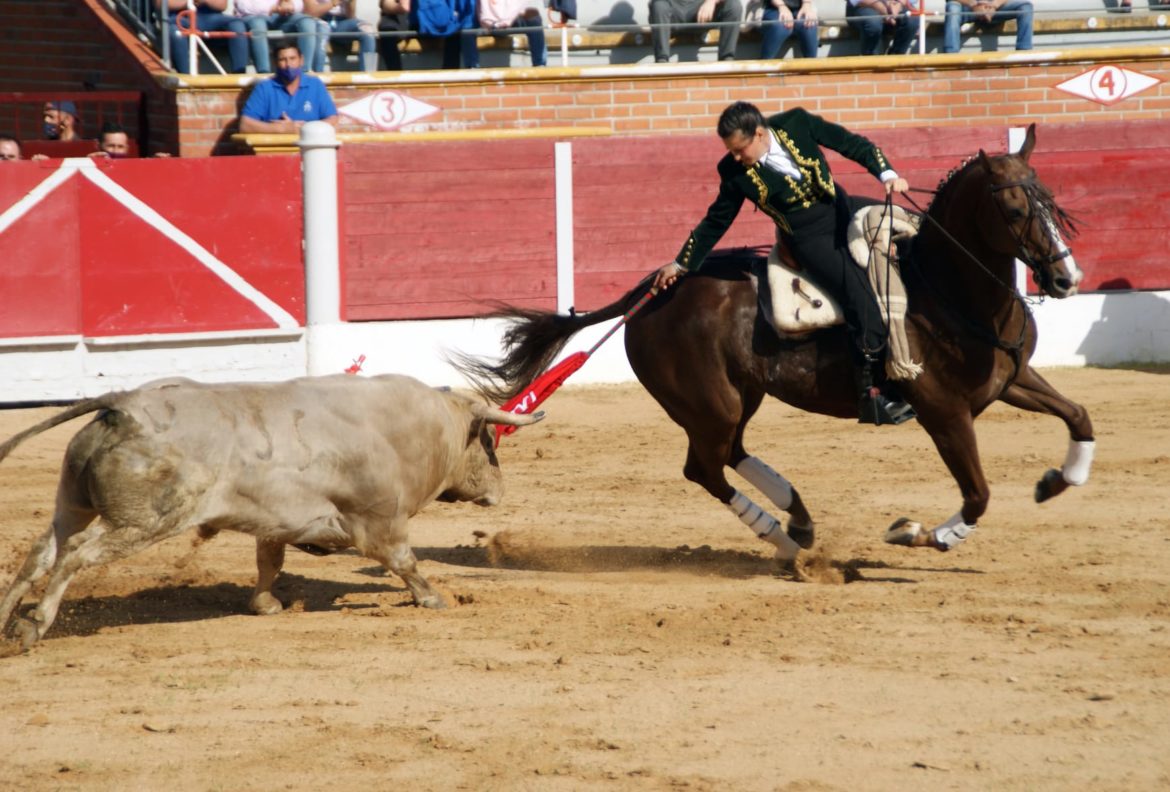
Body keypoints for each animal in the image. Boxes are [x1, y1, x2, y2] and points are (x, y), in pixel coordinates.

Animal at [0, 374, 538, 650]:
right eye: (489, 441)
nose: (498, 490)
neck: (405, 427)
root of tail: (123, 407)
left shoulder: (276, 520)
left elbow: (269, 560)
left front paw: (264, 604)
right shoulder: (378, 520)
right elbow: (404, 560)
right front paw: (431, 598)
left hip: (71, 502)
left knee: (42, 552)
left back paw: (6, 619)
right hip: (144, 522)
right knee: (74, 554)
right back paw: (33, 626)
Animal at [451, 125, 1090, 561]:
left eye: (1050, 197)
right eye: (1013, 208)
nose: (1066, 279)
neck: (945, 290)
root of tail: (660, 288)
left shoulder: (1011, 379)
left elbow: (1079, 416)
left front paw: (1057, 481)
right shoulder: (944, 413)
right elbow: (978, 494)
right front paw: (916, 532)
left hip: (736, 397)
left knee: (729, 454)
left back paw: (798, 520)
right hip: (711, 403)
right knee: (705, 468)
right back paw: (782, 541)